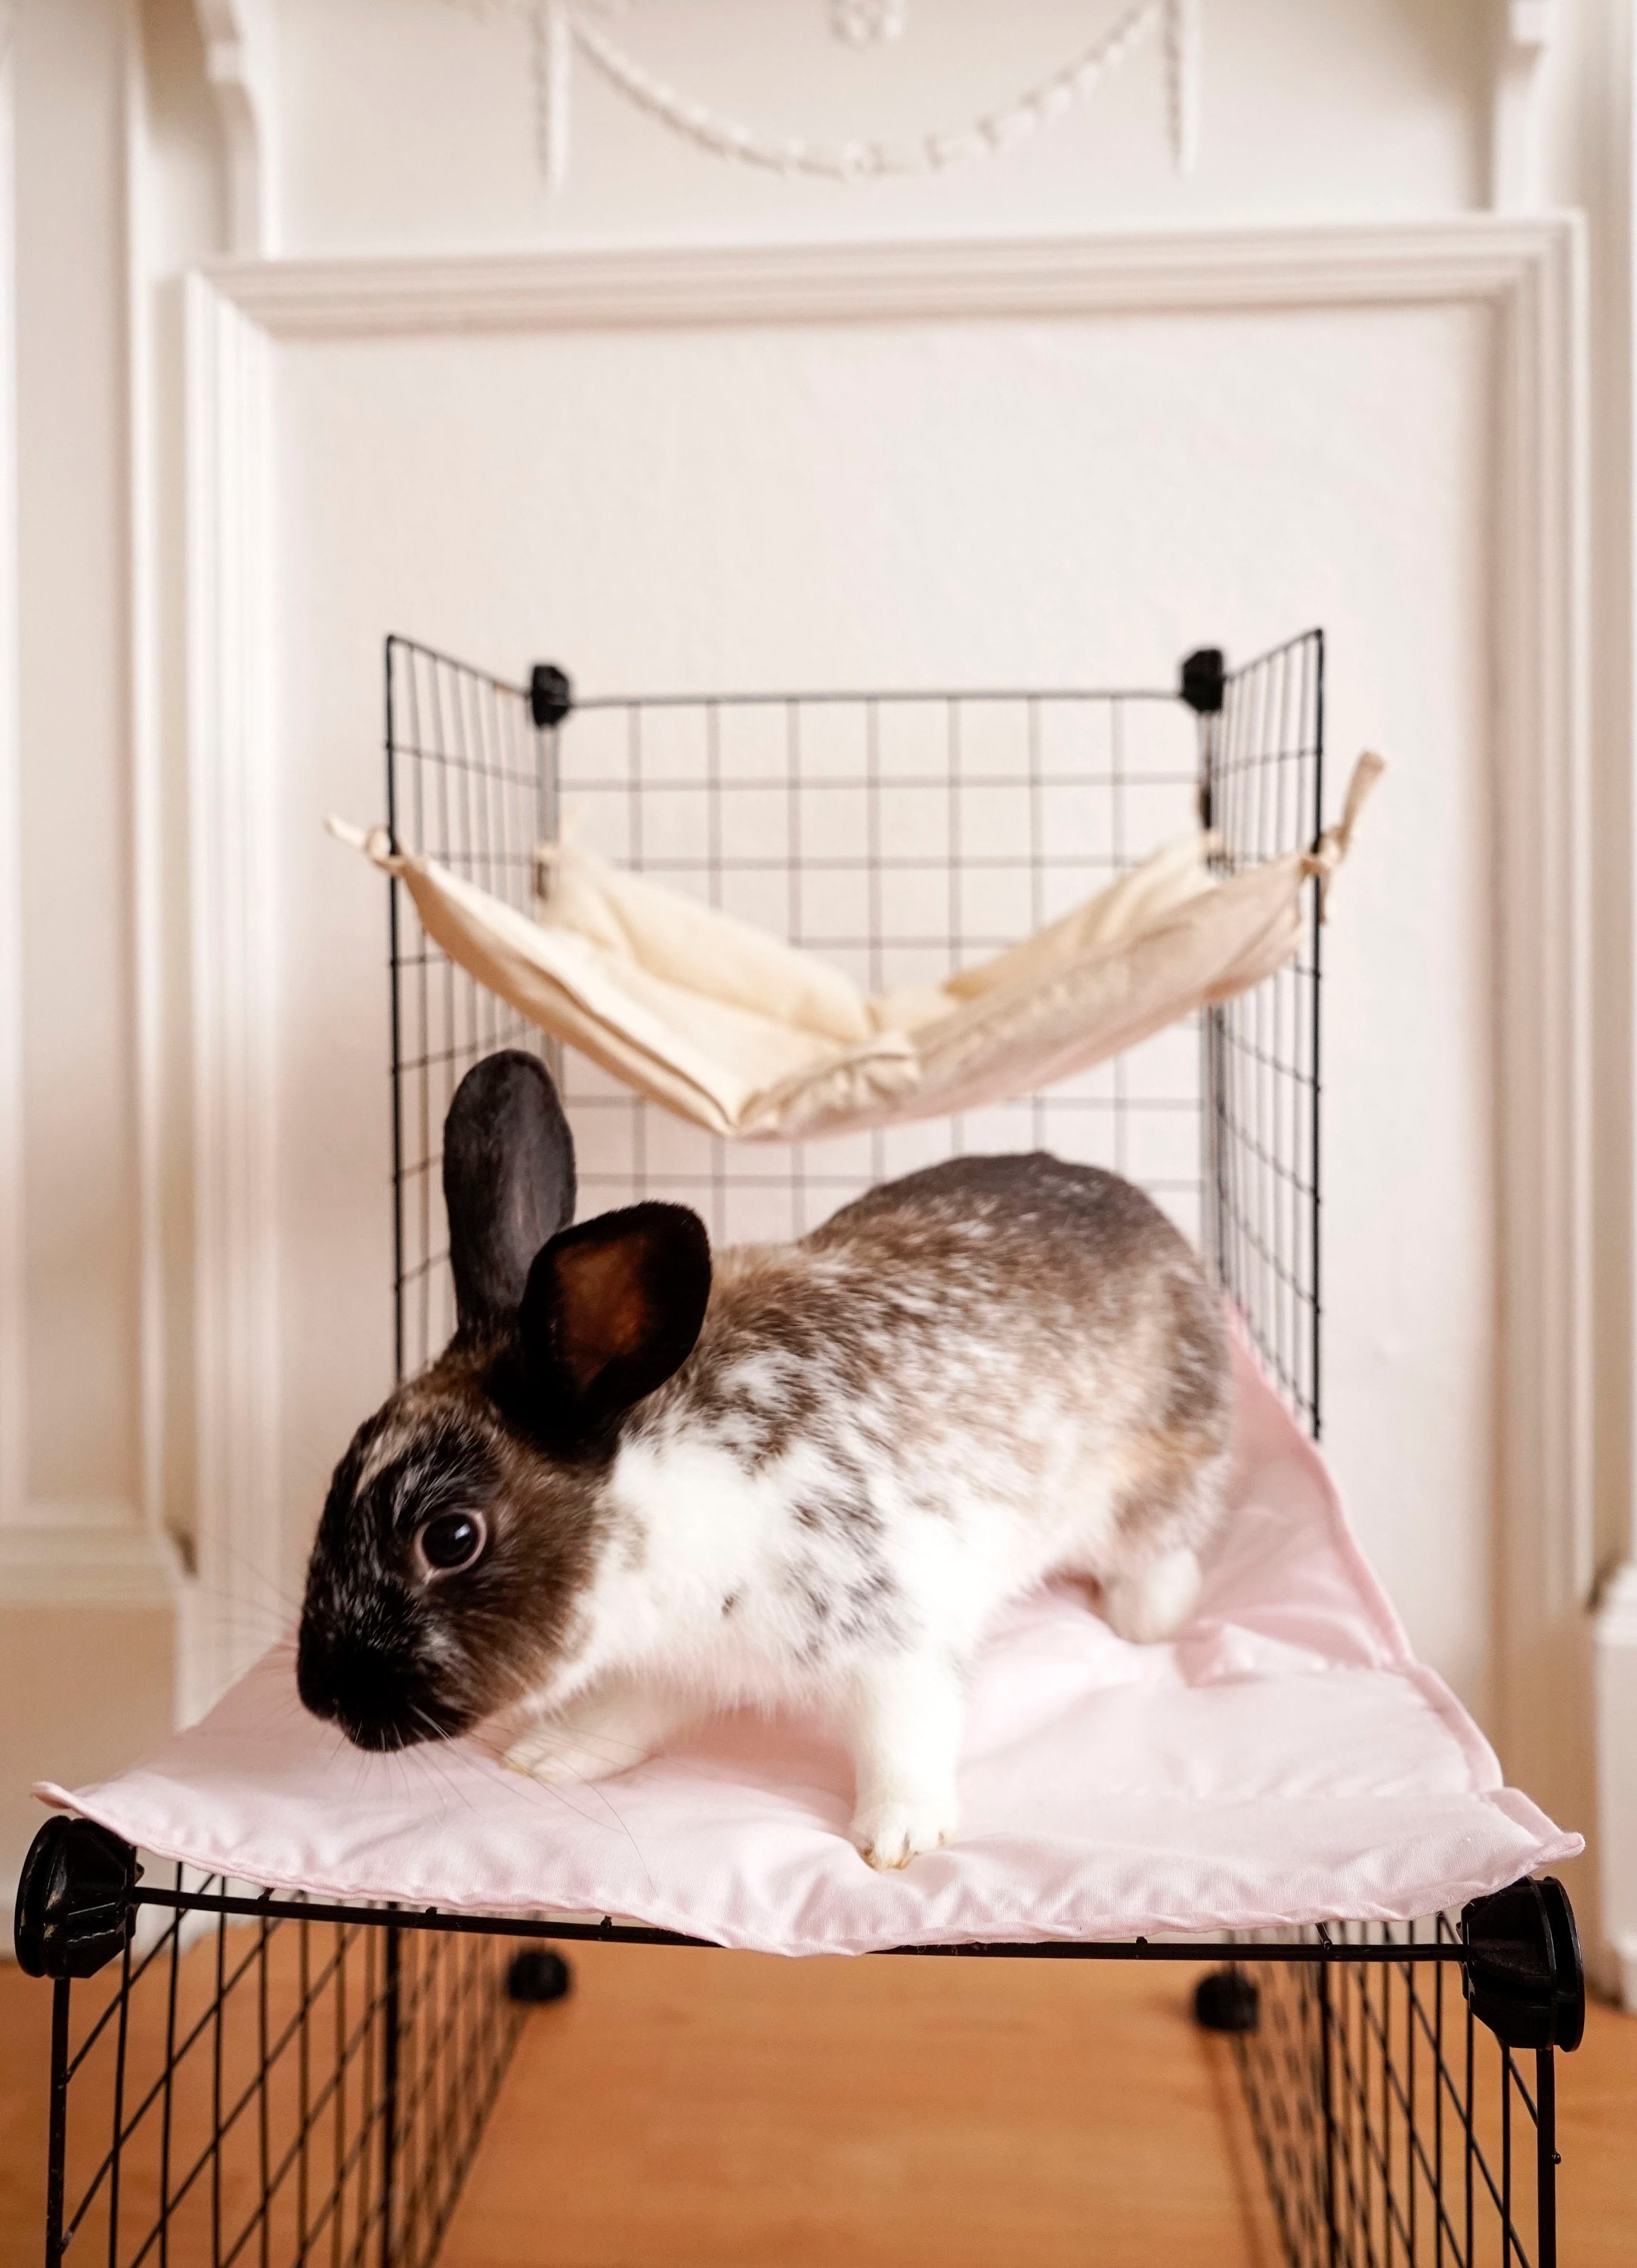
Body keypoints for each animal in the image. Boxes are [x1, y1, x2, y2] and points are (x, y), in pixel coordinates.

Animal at [297, 1049, 1232, 1869]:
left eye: (451, 1539)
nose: (320, 1696)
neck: (662, 1498)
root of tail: (1157, 1223)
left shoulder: (896, 1635)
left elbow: (906, 1736)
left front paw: (898, 1837)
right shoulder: (671, 1665)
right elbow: (624, 1713)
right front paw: (551, 1756)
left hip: (1163, 1473)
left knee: (1164, 1549)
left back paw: (1145, 1614)